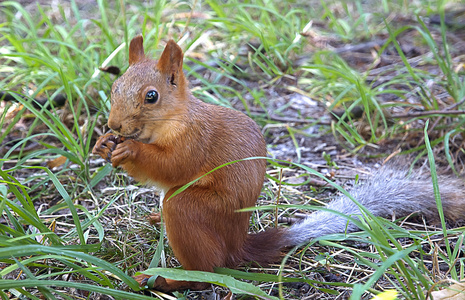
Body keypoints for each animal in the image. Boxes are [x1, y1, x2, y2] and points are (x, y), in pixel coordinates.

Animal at [92, 34, 464, 290]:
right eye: (115, 86)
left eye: (151, 96)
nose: (114, 125)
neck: (173, 120)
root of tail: (237, 244)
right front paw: (102, 144)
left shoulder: (194, 142)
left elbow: (172, 167)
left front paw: (131, 152)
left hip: (192, 210)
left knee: (207, 267)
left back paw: (169, 280)